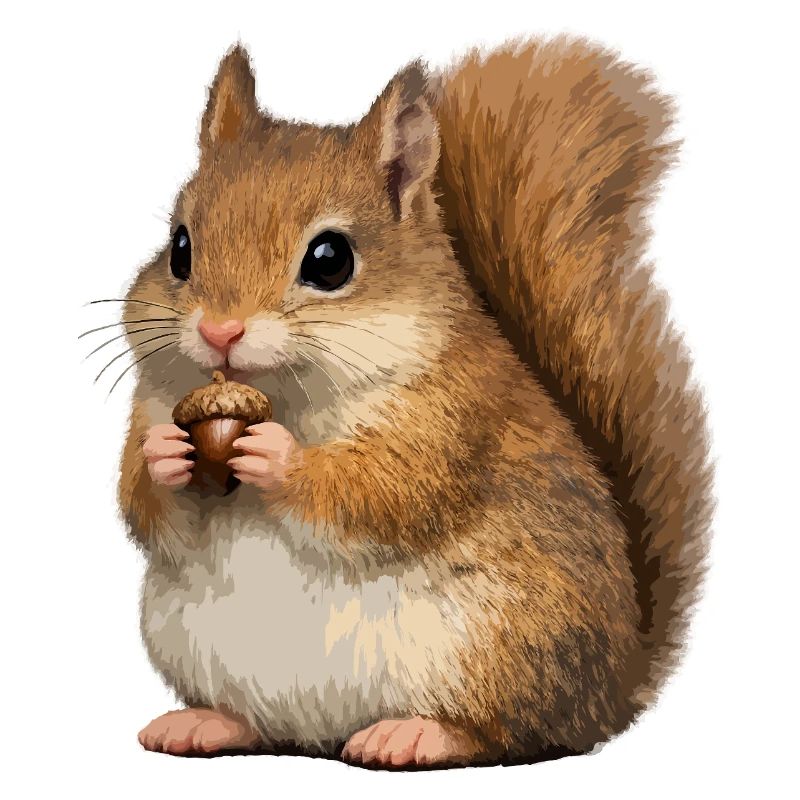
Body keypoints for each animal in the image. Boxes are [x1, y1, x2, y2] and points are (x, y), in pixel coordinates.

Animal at [115, 38, 712, 768]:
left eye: (330, 259)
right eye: (179, 247)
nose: (219, 332)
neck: (288, 396)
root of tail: (614, 688)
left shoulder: (451, 417)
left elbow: (385, 492)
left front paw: (279, 458)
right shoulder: (153, 402)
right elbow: (145, 507)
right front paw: (164, 457)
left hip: (502, 643)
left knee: (510, 733)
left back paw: (416, 734)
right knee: (261, 725)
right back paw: (207, 723)